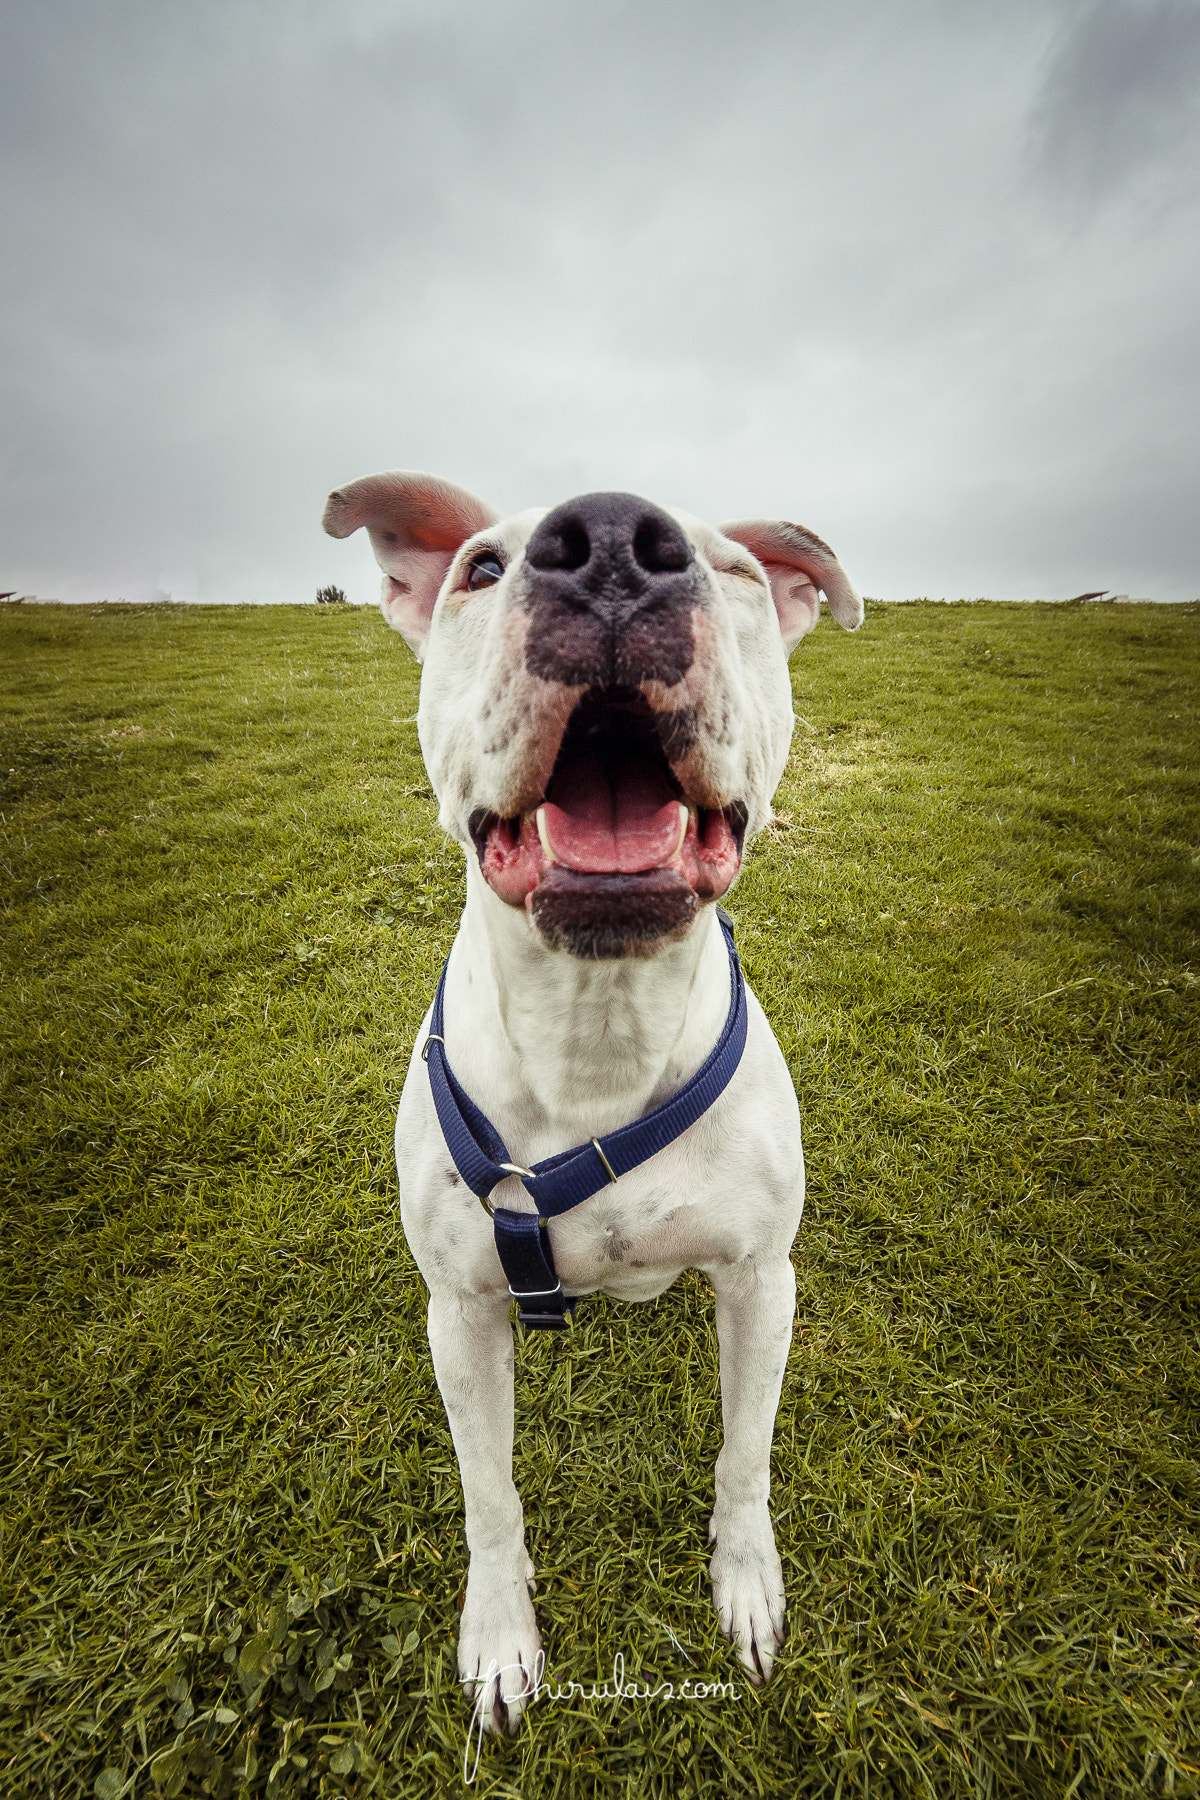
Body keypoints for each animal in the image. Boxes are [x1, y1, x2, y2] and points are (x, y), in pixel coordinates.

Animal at [322, 471, 863, 1735]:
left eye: (739, 573)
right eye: (479, 567)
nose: (614, 544)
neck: (597, 1022)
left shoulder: (763, 1283)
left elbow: (745, 1457)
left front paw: (745, 1585)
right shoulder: (462, 1313)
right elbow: (490, 1495)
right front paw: (499, 1636)